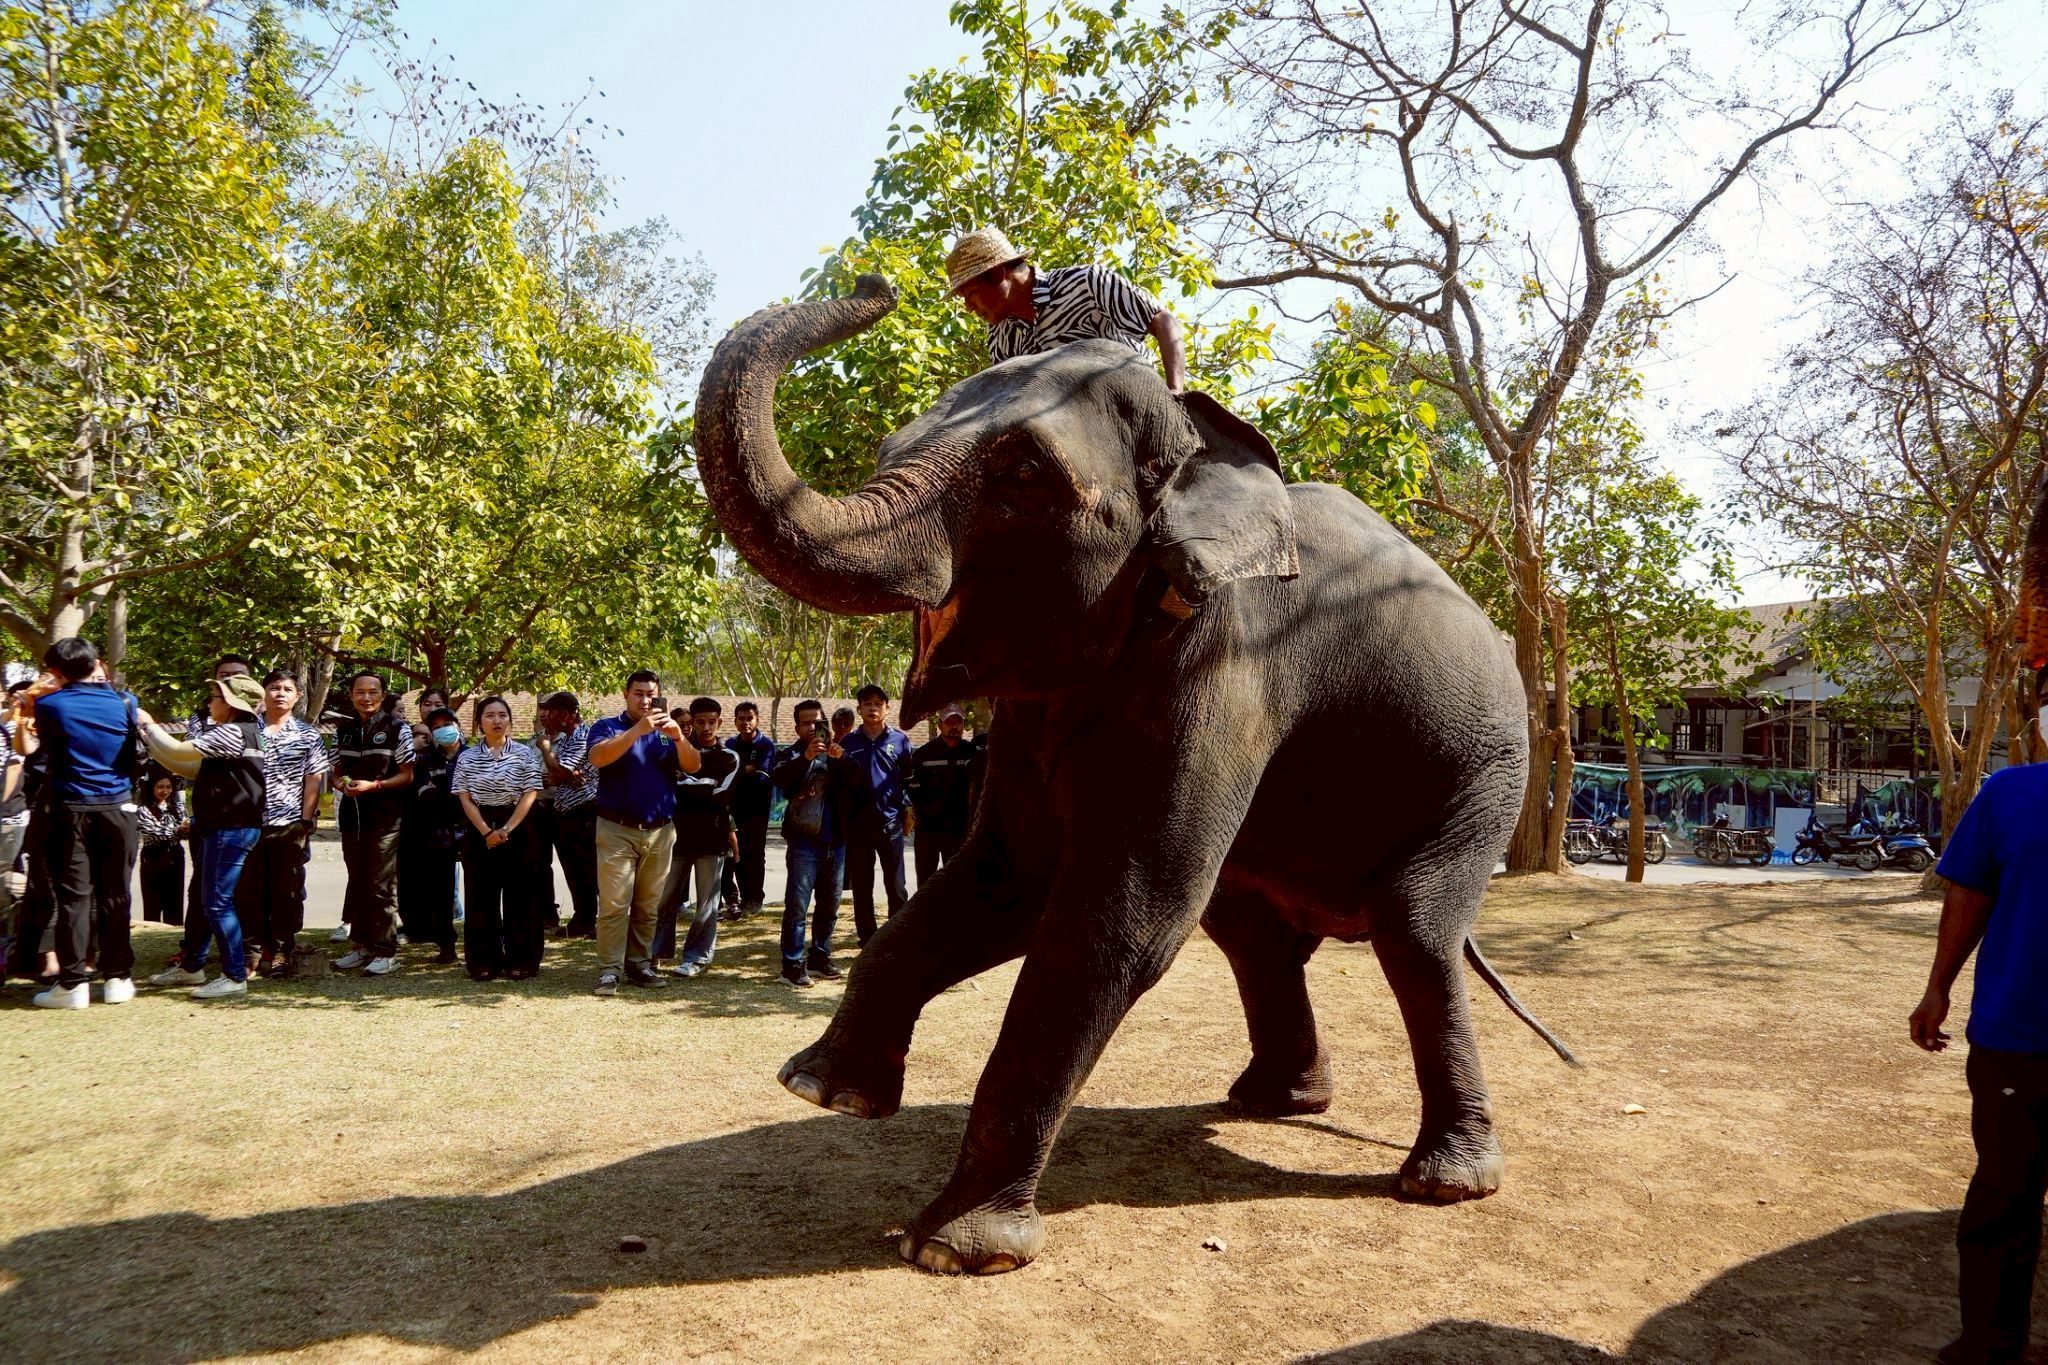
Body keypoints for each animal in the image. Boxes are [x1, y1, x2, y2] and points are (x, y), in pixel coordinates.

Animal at [692, 274, 1577, 1276]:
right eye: (888, 448)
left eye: (1023, 476)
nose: (876, 286)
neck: (1202, 453)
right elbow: (1008, 878)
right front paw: (821, 1089)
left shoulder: (1229, 659)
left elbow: (1121, 915)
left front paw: (957, 1248)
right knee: (1251, 929)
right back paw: (1273, 1103)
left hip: (1489, 770)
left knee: (1415, 928)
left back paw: (1444, 1180)